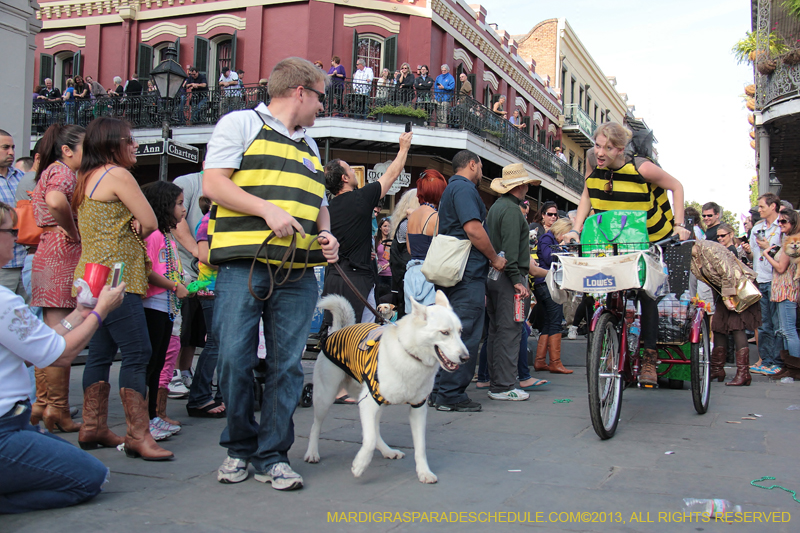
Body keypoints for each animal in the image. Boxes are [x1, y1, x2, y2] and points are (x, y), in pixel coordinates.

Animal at [304, 290, 468, 482]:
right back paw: (312, 453)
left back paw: (388, 451)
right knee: (316, 426)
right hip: (326, 397)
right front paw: (360, 465)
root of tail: (337, 331)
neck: (410, 355)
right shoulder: (369, 402)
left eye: (460, 331)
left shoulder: (418, 408)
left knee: (374, 430)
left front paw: (424, 472)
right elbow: (368, 440)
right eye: (444, 332)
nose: (466, 357)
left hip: (375, 402)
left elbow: (420, 447)